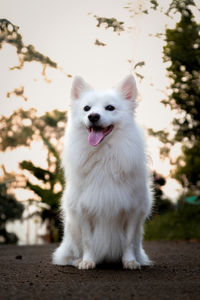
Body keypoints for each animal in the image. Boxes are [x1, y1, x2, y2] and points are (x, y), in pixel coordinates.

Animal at [52, 74, 152, 270]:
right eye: (86, 108)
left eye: (110, 108)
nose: (93, 116)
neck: (104, 155)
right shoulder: (84, 210)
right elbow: (88, 241)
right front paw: (87, 261)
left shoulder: (133, 210)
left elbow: (128, 241)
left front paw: (129, 261)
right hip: (71, 233)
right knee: (72, 253)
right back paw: (77, 260)